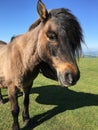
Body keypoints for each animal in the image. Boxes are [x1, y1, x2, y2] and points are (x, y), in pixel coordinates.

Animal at [0, 0, 82, 129]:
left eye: (72, 40)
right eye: (51, 36)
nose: (73, 76)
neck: (21, 59)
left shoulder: (28, 85)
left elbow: (26, 102)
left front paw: (26, 119)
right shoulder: (11, 87)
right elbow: (15, 109)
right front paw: (16, 126)